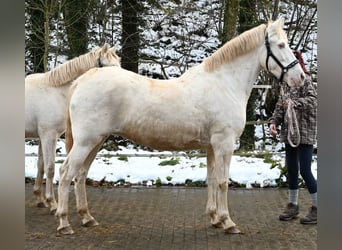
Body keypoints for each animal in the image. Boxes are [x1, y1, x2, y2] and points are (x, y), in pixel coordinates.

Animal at [24, 43, 120, 213]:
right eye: (107, 67)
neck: (54, 90)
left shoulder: (43, 137)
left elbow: (41, 166)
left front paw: (41, 199)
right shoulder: (49, 136)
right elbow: (50, 168)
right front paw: (53, 204)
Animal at [55, 18, 304, 235]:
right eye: (281, 45)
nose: (300, 77)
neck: (224, 83)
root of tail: (82, 80)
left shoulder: (211, 147)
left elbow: (211, 180)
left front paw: (214, 218)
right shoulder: (224, 144)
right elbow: (223, 182)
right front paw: (228, 222)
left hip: (96, 141)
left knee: (80, 174)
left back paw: (87, 218)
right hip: (86, 142)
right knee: (66, 173)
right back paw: (64, 222)